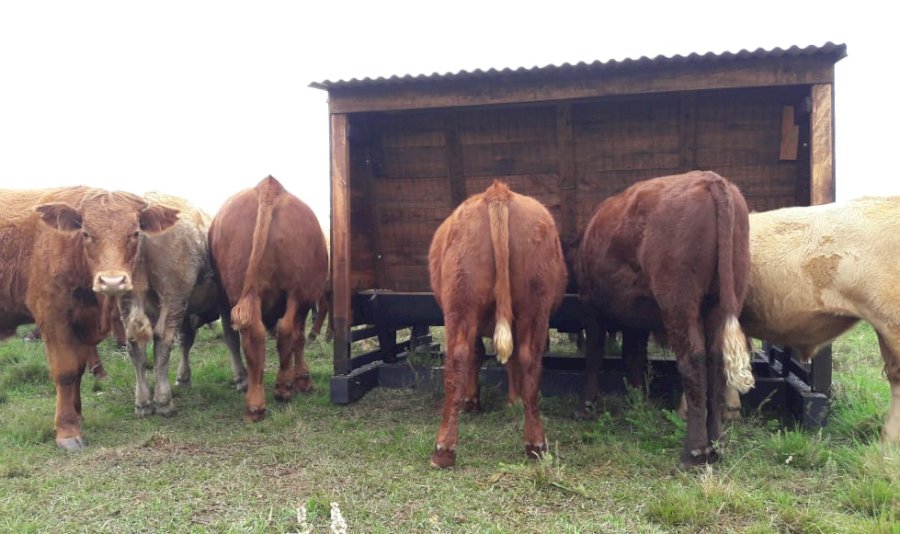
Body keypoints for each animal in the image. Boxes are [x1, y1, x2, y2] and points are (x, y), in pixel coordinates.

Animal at [0, 186, 179, 450]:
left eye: (135, 233)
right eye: (86, 233)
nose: (112, 281)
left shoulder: (83, 325)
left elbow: (78, 370)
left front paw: (77, 413)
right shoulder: (54, 319)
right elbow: (65, 372)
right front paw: (67, 429)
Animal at [118, 193, 250, 418]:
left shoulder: (187, 310)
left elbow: (186, 340)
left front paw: (183, 376)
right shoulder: (224, 302)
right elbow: (231, 338)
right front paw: (241, 377)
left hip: (128, 300)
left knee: (135, 345)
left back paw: (143, 402)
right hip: (173, 296)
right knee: (162, 340)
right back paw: (163, 400)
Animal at [207, 176, 326, 422]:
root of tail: (269, 186)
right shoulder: (306, 299)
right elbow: (299, 338)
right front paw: (302, 379)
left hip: (237, 291)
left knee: (252, 336)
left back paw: (255, 404)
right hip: (297, 292)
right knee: (287, 331)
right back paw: (282, 388)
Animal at [572, 173, 756, 468]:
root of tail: (712, 180)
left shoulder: (591, 304)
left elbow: (595, 355)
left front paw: (587, 405)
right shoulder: (635, 315)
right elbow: (634, 356)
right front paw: (638, 399)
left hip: (679, 300)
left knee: (693, 360)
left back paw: (694, 450)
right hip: (723, 297)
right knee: (715, 360)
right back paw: (717, 443)